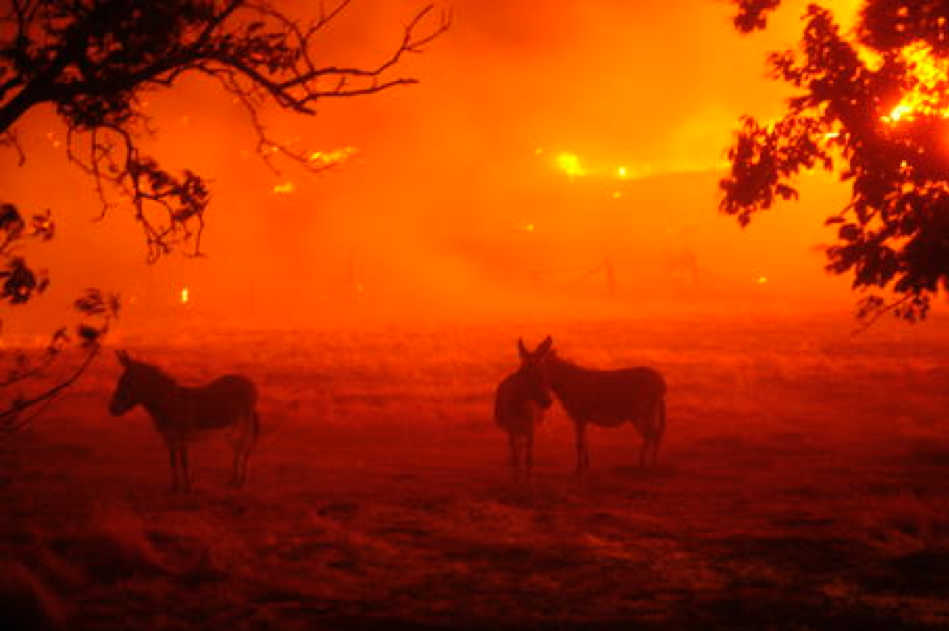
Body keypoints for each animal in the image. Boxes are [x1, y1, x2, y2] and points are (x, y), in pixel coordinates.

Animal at [109, 350, 260, 492]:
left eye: (126, 383)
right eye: (120, 382)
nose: (112, 409)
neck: (170, 403)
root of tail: (247, 381)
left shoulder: (182, 436)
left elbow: (184, 461)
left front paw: (187, 488)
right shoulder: (168, 438)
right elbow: (173, 461)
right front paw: (174, 487)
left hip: (245, 423)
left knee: (244, 447)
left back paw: (240, 481)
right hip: (231, 427)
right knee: (238, 448)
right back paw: (233, 481)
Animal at [494, 336, 554, 481]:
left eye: (544, 375)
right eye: (529, 376)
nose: (547, 402)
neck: (520, 407)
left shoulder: (531, 429)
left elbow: (529, 458)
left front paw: (528, 480)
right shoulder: (511, 429)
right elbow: (515, 457)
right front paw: (516, 479)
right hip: (513, 431)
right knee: (515, 449)